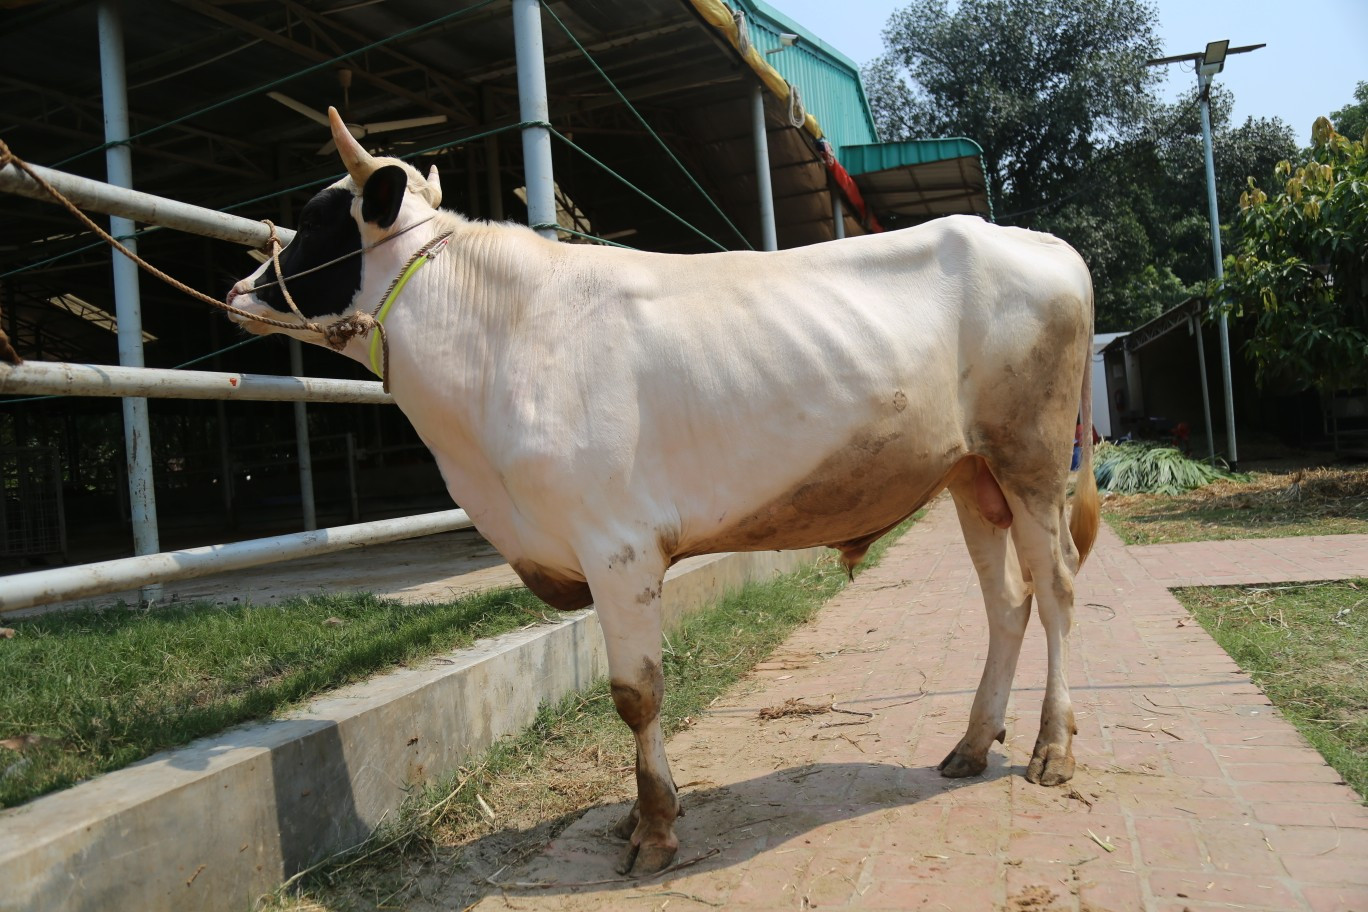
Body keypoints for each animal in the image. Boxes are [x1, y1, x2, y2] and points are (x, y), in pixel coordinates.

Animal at [227, 108, 1100, 876]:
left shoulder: (616, 546)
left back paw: (1053, 747)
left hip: (1031, 459)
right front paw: (646, 813)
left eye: (316, 221)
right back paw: (972, 744)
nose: (238, 290)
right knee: (1007, 602)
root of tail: (1039, 240)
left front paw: (652, 829)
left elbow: (634, 694)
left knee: (1056, 588)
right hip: (970, 475)